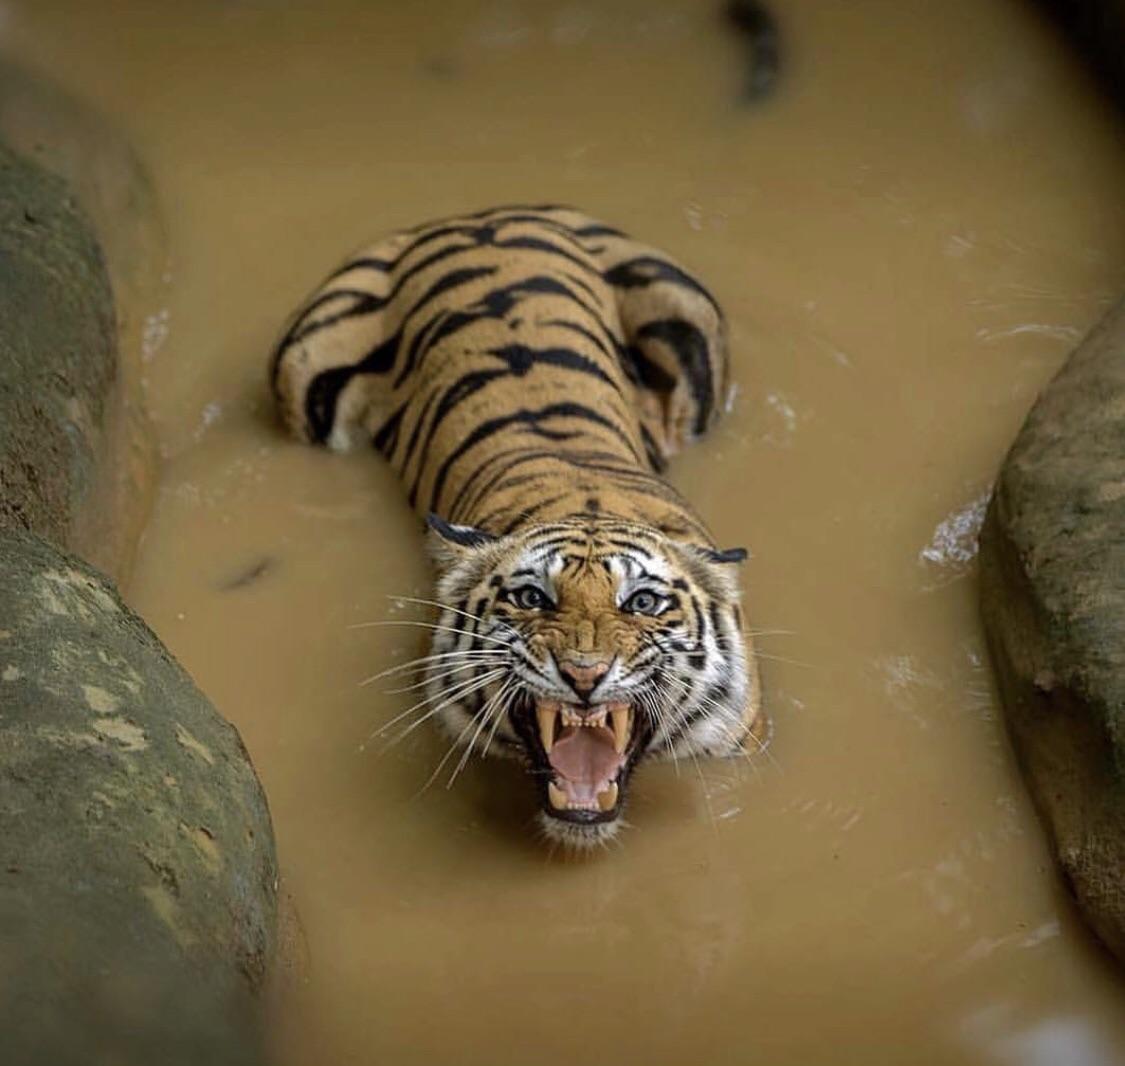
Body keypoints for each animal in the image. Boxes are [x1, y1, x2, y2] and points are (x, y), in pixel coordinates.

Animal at [270, 204, 763, 848]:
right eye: (531, 598)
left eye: (643, 603)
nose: (583, 675)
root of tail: (479, 216)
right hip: (302, 367)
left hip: (688, 316)